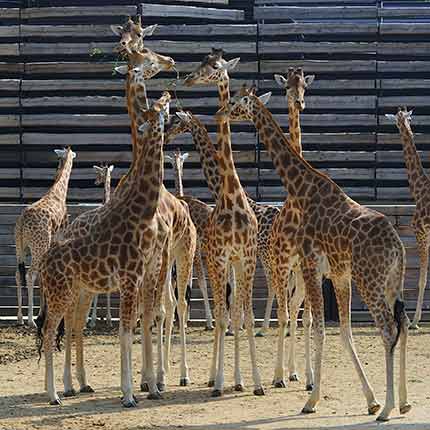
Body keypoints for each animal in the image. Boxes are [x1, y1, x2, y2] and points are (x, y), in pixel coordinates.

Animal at [15, 148, 76, 326]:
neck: (59, 193)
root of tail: (22, 221)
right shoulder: (57, 239)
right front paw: (42, 314)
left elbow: (43, 278)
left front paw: (43, 312)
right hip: (37, 246)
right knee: (30, 275)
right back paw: (30, 320)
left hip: (20, 246)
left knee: (18, 275)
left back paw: (20, 318)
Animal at [225, 85, 410, 422]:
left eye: (235, 102)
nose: (222, 112)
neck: (302, 188)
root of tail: (398, 248)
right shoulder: (338, 273)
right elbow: (344, 332)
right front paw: (370, 399)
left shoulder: (311, 263)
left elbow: (320, 328)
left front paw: (311, 400)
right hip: (391, 283)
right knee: (401, 326)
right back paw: (402, 402)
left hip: (370, 280)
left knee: (389, 329)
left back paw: (389, 408)